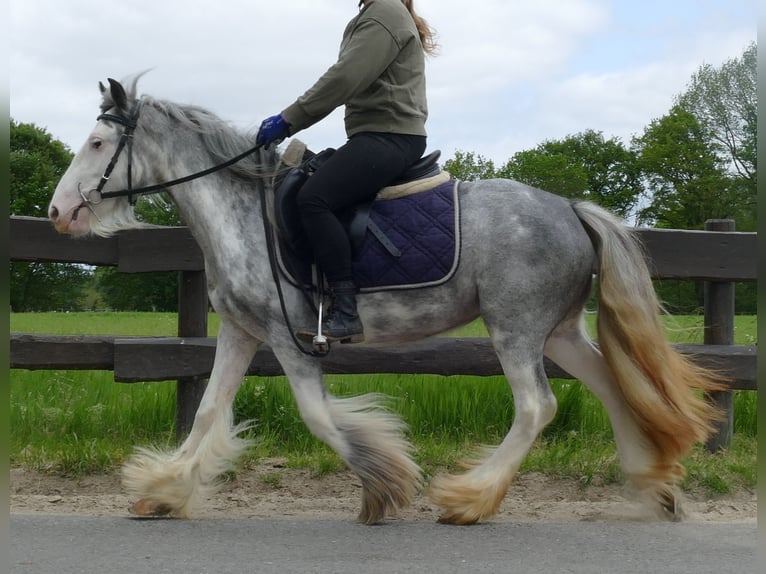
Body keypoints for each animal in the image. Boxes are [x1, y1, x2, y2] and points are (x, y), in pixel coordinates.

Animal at [49, 76, 728, 528]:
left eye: (95, 143)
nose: (57, 213)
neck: (243, 213)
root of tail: (570, 208)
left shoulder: (289, 337)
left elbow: (320, 417)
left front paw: (384, 488)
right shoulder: (242, 332)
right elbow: (208, 411)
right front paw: (164, 491)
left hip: (515, 328)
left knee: (537, 406)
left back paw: (469, 500)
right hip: (558, 331)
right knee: (612, 387)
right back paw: (653, 485)